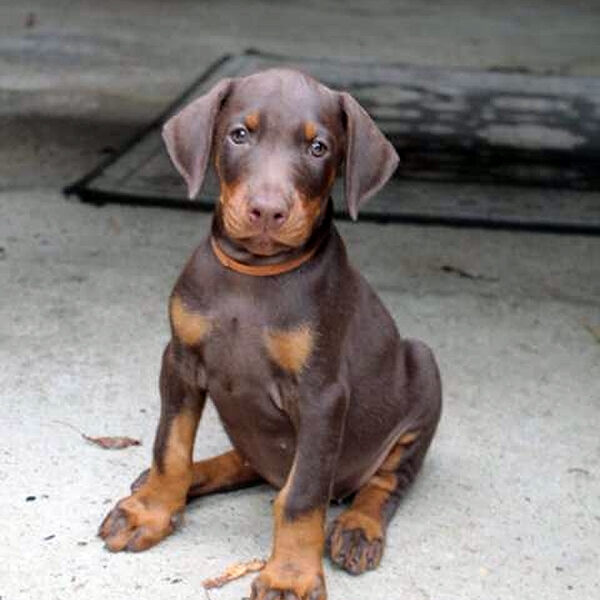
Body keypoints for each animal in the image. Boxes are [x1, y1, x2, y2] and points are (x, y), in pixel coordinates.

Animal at [99, 69, 440, 600]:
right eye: (240, 134)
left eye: (319, 148)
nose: (267, 210)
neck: (254, 275)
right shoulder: (179, 360)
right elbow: (169, 446)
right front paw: (151, 510)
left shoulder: (322, 396)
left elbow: (302, 495)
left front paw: (290, 575)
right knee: (247, 461)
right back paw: (186, 479)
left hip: (423, 368)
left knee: (383, 481)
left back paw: (358, 527)